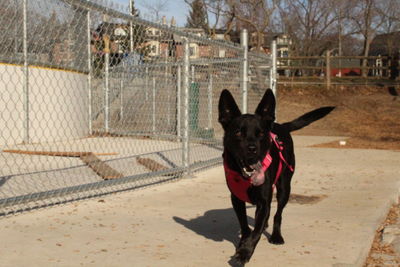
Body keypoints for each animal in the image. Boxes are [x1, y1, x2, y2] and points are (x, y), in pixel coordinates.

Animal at [219, 89, 334, 264]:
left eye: (260, 133)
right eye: (238, 132)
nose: (252, 149)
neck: (246, 178)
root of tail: (280, 125)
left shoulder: (263, 200)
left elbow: (256, 233)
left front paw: (245, 253)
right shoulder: (236, 199)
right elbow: (245, 226)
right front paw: (242, 244)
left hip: (285, 188)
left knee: (278, 214)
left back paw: (276, 236)